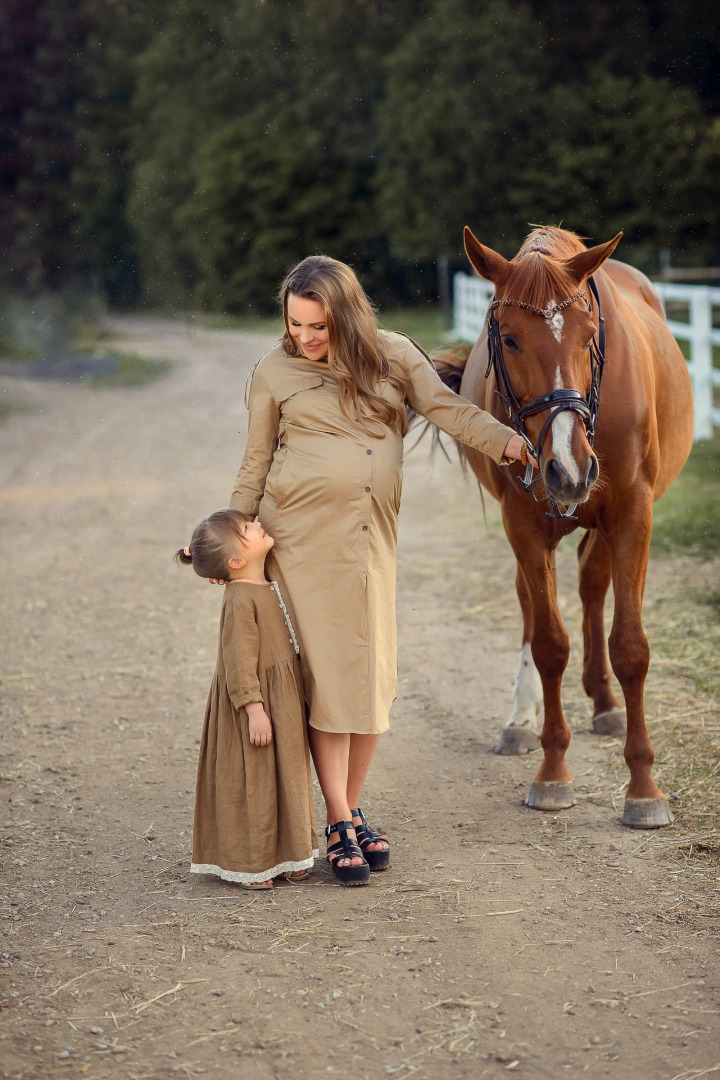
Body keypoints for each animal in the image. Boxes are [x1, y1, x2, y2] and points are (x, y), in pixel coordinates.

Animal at [446, 221, 695, 825]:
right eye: (509, 338)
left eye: (588, 338)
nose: (568, 467)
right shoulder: (523, 523)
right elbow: (548, 644)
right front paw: (553, 771)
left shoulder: (632, 513)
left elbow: (630, 646)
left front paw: (643, 787)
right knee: (532, 606)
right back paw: (520, 720)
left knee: (591, 585)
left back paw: (604, 703)